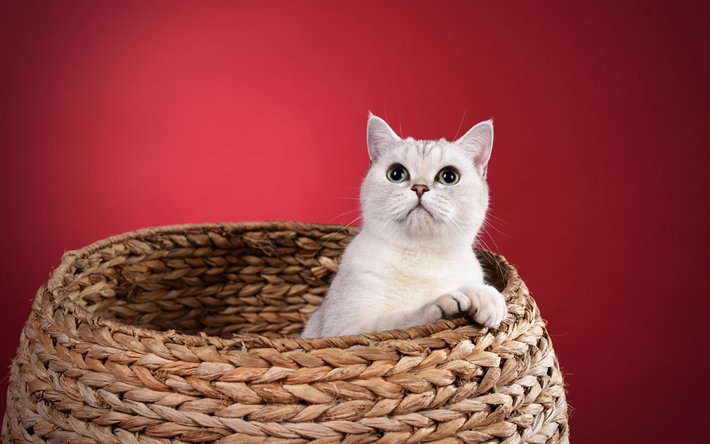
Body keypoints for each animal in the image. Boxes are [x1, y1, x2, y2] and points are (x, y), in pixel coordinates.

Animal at [304, 113, 508, 336]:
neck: (421, 255)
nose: (420, 188)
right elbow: (403, 318)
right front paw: (449, 303)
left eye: (449, 177)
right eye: (396, 174)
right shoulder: (344, 331)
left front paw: (488, 298)